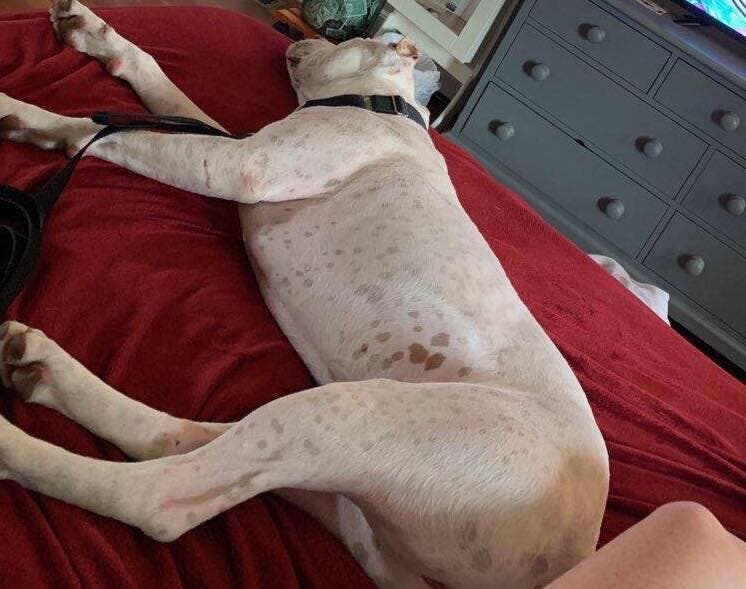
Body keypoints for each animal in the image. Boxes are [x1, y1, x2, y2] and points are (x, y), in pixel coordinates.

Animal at [0, 2, 609, 588]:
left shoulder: (239, 164)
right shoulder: (239, 150)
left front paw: (26, 114)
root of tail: (574, 555)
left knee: (161, 498)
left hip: (363, 415)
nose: (304, 39)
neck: (384, 106)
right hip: (343, 486)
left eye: (353, 37)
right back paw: (43, 369)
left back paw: (13, 444)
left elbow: (116, 133)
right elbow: (163, 91)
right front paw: (96, 36)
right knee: (180, 444)